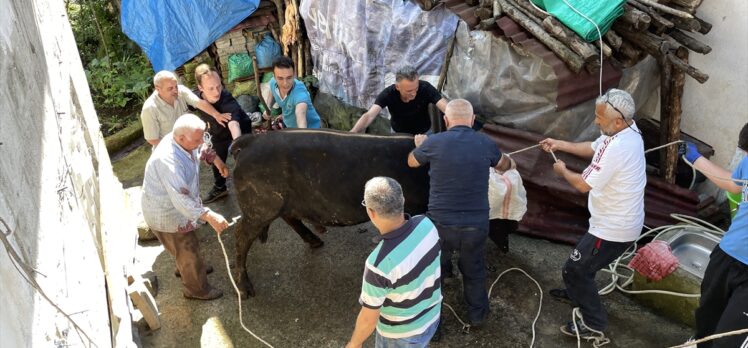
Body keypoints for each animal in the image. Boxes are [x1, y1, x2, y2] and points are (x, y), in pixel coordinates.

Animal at [229, 129, 426, 298]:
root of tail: (251, 139)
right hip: (260, 207)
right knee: (241, 235)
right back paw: (245, 290)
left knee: (290, 218)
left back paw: (316, 241)